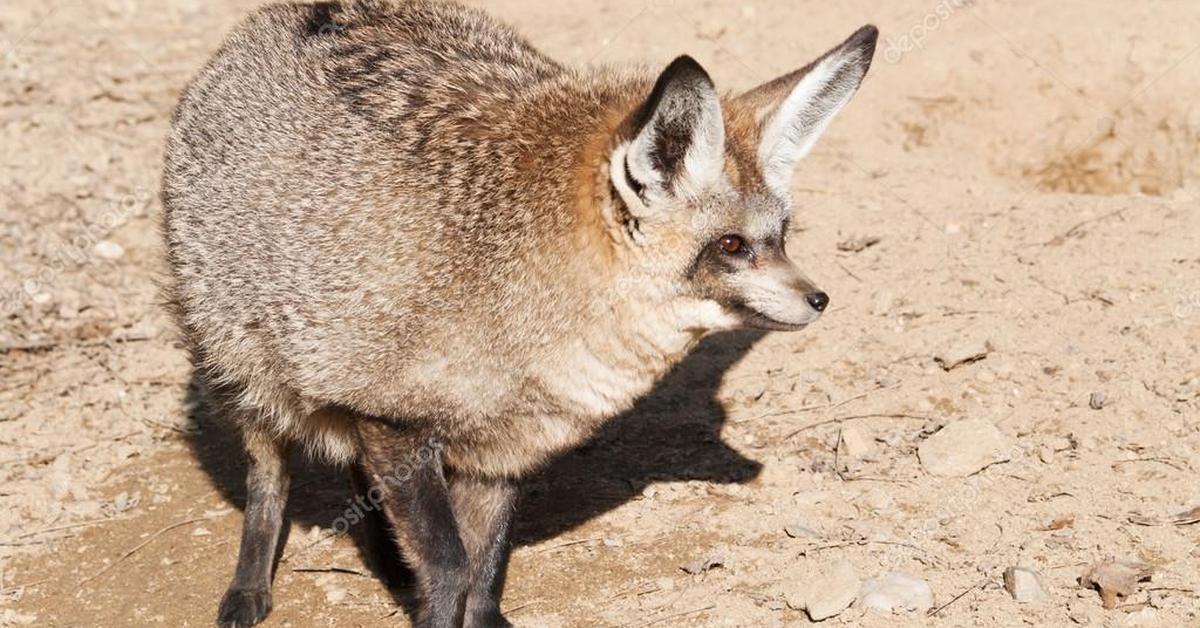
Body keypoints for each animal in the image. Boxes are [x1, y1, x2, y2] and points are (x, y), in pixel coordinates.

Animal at [159, 1, 878, 628]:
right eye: (731, 247)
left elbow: (484, 573)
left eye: (782, 236)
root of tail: (301, 10)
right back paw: (250, 585)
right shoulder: (391, 423)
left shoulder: (502, 449)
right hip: (249, 377)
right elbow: (450, 568)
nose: (820, 299)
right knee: (269, 479)